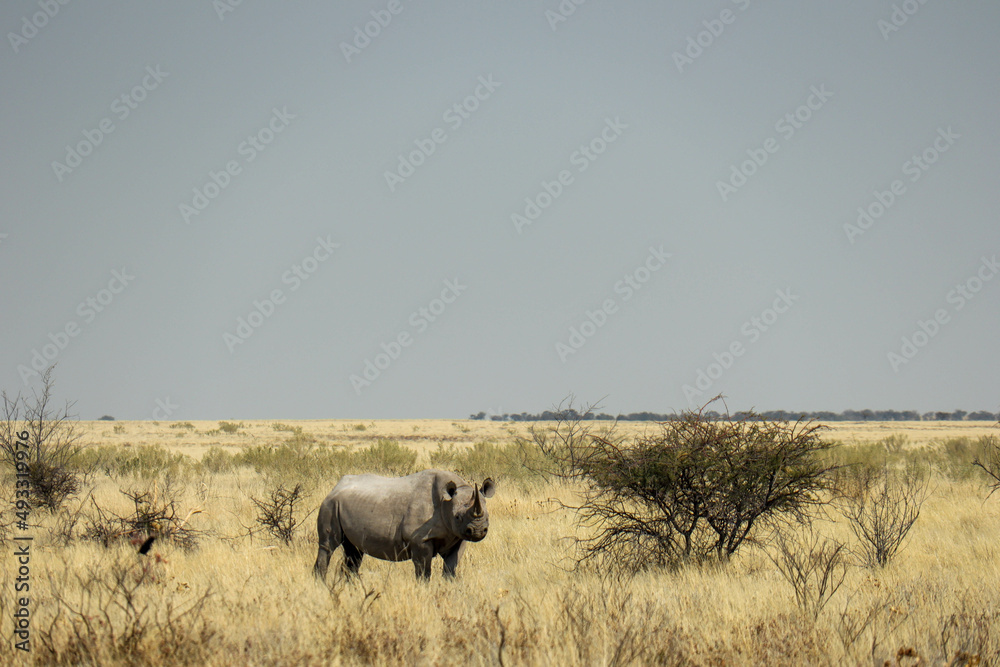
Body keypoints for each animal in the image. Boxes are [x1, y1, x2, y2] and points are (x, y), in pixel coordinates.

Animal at [313, 469, 495, 580]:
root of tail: (336, 486)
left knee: (354, 551)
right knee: (328, 546)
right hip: (330, 504)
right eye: (457, 517)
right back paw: (322, 584)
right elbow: (423, 571)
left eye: (487, 515)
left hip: (346, 504)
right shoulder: (420, 540)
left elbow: (450, 568)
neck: (447, 503)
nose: (478, 531)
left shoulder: (457, 537)